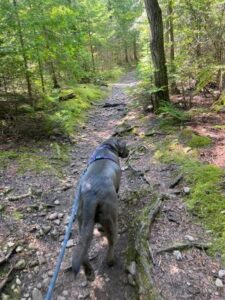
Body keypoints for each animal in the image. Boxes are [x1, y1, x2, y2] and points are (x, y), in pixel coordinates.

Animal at [72, 138, 128, 282]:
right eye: (126, 146)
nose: (129, 152)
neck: (106, 148)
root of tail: (92, 196)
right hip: (111, 218)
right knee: (111, 243)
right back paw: (111, 261)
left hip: (83, 223)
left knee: (83, 250)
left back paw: (89, 272)